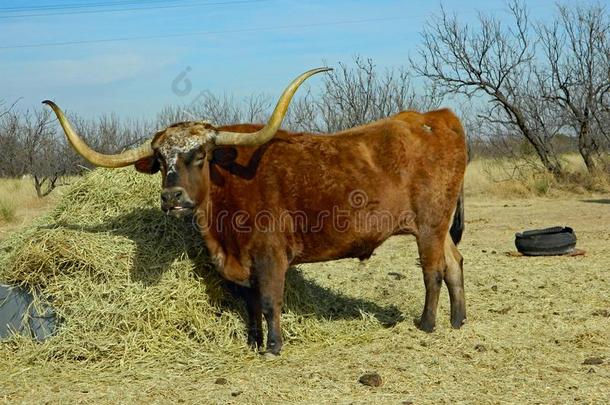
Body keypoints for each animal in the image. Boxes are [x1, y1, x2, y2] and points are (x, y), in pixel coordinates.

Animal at [44, 68, 466, 354]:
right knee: (454, 263)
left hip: (429, 225)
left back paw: (427, 324)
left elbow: (268, 300)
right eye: (161, 160)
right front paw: (252, 341)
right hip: (440, 227)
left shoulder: (270, 255)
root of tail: (435, 117)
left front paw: (274, 346)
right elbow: (249, 304)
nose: (172, 197)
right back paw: (458, 320)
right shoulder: (243, 260)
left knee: (433, 270)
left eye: (200, 156)